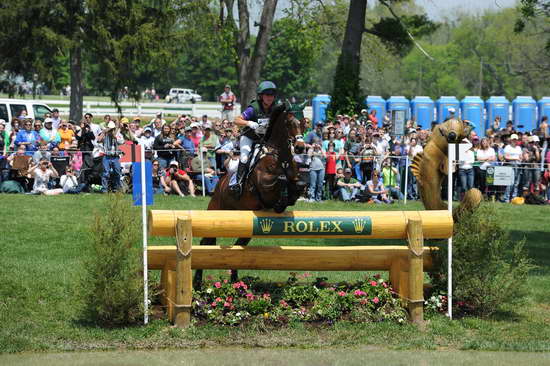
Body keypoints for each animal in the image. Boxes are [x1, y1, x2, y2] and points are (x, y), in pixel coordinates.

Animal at [194, 103, 306, 286]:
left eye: (304, 122)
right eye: (289, 122)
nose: (300, 147)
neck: (279, 156)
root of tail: (219, 184)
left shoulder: (296, 180)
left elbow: (299, 185)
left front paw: (284, 202)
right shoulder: (264, 185)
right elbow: (280, 179)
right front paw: (281, 200)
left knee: (240, 246)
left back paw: (234, 281)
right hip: (216, 212)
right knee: (206, 242)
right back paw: (197, 282)